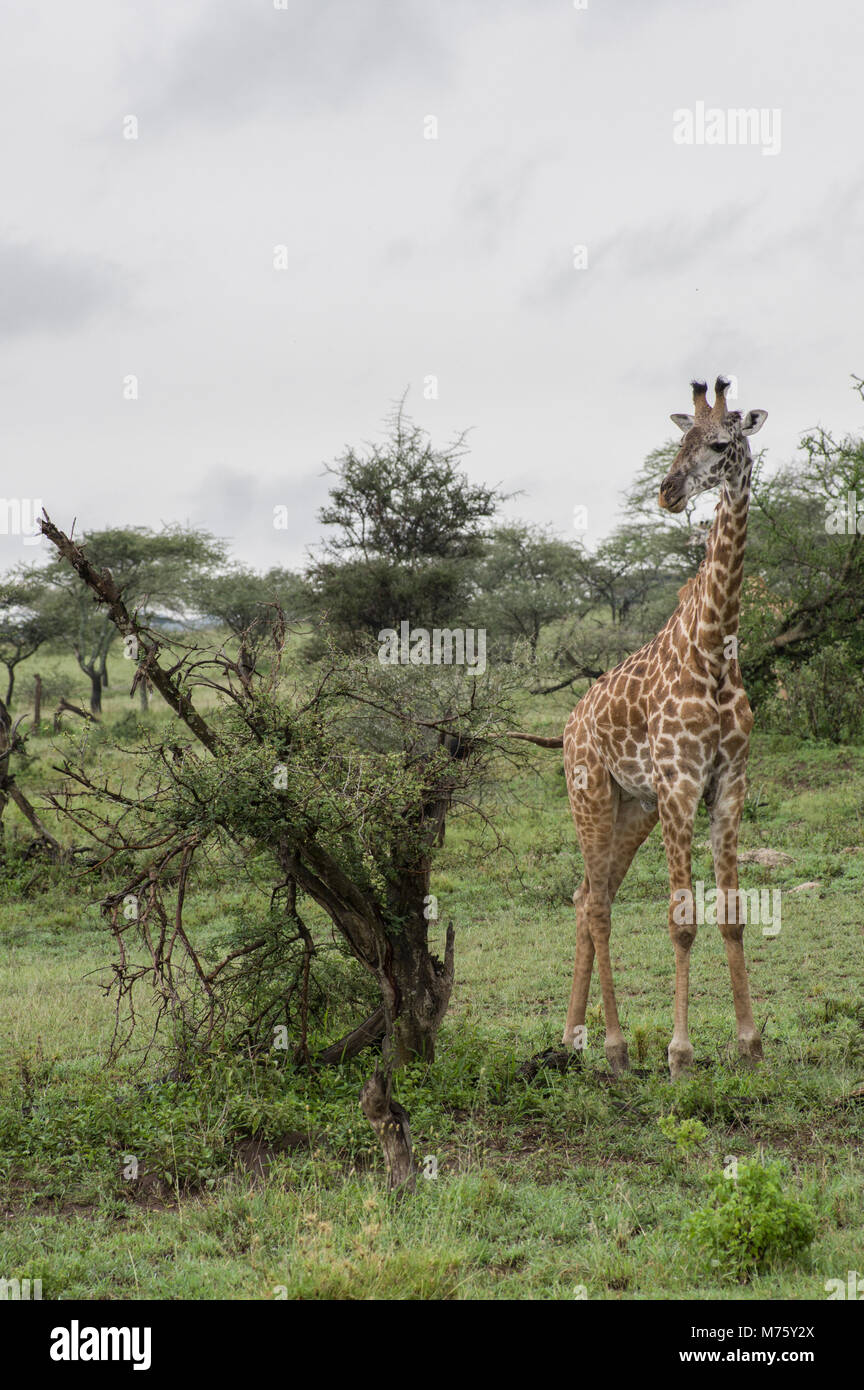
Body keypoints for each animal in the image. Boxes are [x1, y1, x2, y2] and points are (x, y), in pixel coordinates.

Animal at [536, 378, 772, 1073]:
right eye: (679, 439)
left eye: (720, 443)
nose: (667, 492)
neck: (715, 649)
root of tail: (569, 727)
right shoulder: (678, 786)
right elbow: (681, 921)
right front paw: (679, 1053)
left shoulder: (727, 786)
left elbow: (731, 915)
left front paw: (748, 1044)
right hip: (589, 793)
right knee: (598, 905)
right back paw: (615, 1050)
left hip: (630, 809)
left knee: (587, 897)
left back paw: (573, 1037)